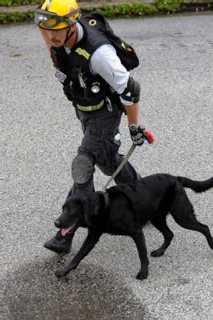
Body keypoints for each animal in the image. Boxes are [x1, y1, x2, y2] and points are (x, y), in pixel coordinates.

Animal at [53, 174, 213, 278]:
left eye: (71, 211)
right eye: (62, 208)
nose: (56, 223)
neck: (105, 207)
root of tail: (176, 177)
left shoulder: (137, 232)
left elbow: (142, 254)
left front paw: (143, 273)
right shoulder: (92, 237)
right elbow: (77, 257)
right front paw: (63, 272)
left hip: (181, 216)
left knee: (204, 227)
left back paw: (211, 246)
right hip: (157, 218)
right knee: (169, 234)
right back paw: (160, 251)